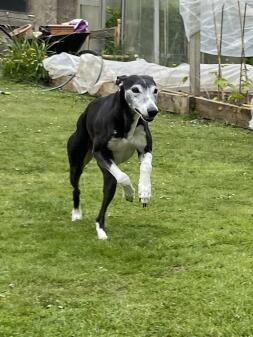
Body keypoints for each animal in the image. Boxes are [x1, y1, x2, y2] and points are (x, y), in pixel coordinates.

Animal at [67, 74, 158, 238]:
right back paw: (78, 214)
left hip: (108, 174)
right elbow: (123, 176)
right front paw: (129, 192)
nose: (153, 111)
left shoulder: (145, 149)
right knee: (76, 188)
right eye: (135, 89)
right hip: (78, 164)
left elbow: (146, 167)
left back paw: (100, 229)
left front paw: (145, 191)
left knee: (107, 193)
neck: (126, 119)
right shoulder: (100, 153)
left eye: (155, 90)